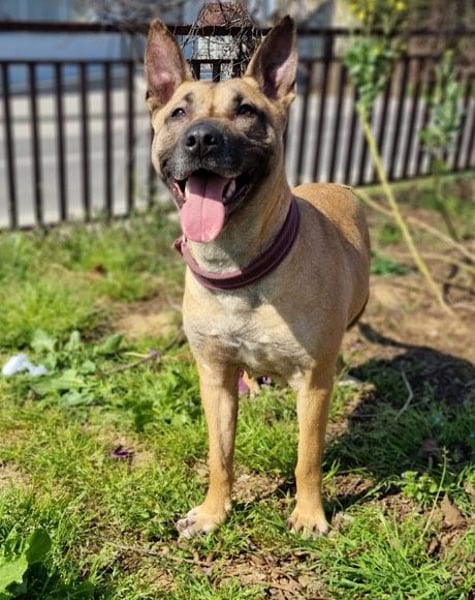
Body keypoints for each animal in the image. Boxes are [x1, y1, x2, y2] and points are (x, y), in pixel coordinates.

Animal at [145, 16, 370, 538]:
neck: (240, 270)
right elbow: (219, 455)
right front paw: (214, 512)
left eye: (245, 110)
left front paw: (309, 514)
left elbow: (307, 458)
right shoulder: (215, 378)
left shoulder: (313, 384)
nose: (201, 138)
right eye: (178, 113)